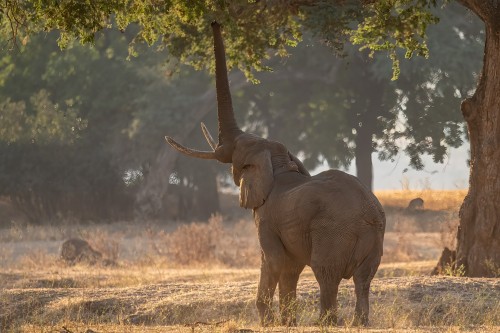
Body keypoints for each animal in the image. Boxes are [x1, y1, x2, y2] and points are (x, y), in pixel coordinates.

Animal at [166, 21, 384, 326]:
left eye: (236, 150)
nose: (215, 22)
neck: (276, 161)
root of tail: (369, 213)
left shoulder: (267, 218)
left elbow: (273, 261)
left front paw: (268, 322)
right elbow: (290, 267)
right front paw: (287, 323)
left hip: (332, 232)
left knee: (326, 274)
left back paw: (325, 323)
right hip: (372, 240)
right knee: (363, 279)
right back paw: (357, 324)